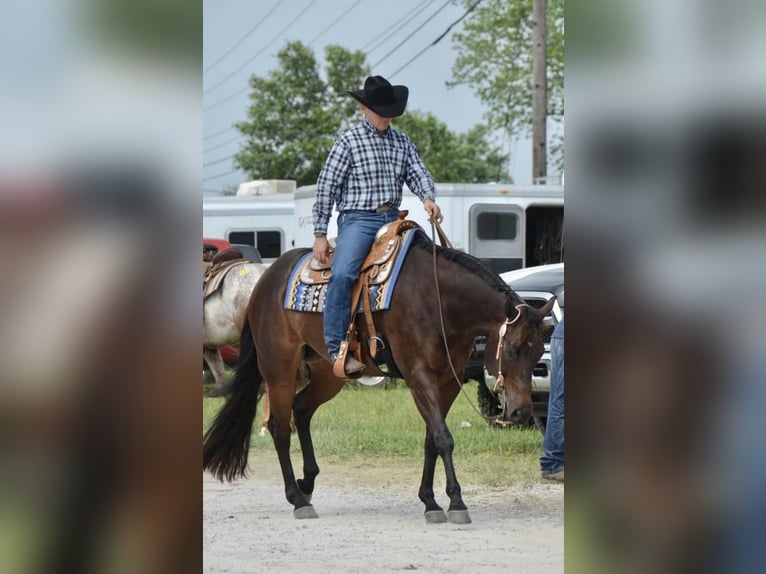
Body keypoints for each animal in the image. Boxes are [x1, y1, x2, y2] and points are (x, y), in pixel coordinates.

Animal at [202, 232, 552, 524]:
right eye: (512, 350)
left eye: (537, 352)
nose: (520, 411)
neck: (438, 300)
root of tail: (265, 278)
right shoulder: (418, 376)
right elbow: (443, 437)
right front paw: (455, 502)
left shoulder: (449, 382)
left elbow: (431, 439)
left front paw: (430, 500)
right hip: (279, 367)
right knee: (279, 424)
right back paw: (297, 499)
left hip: (329, 373)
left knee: (300, 410)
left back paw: (307, 482)